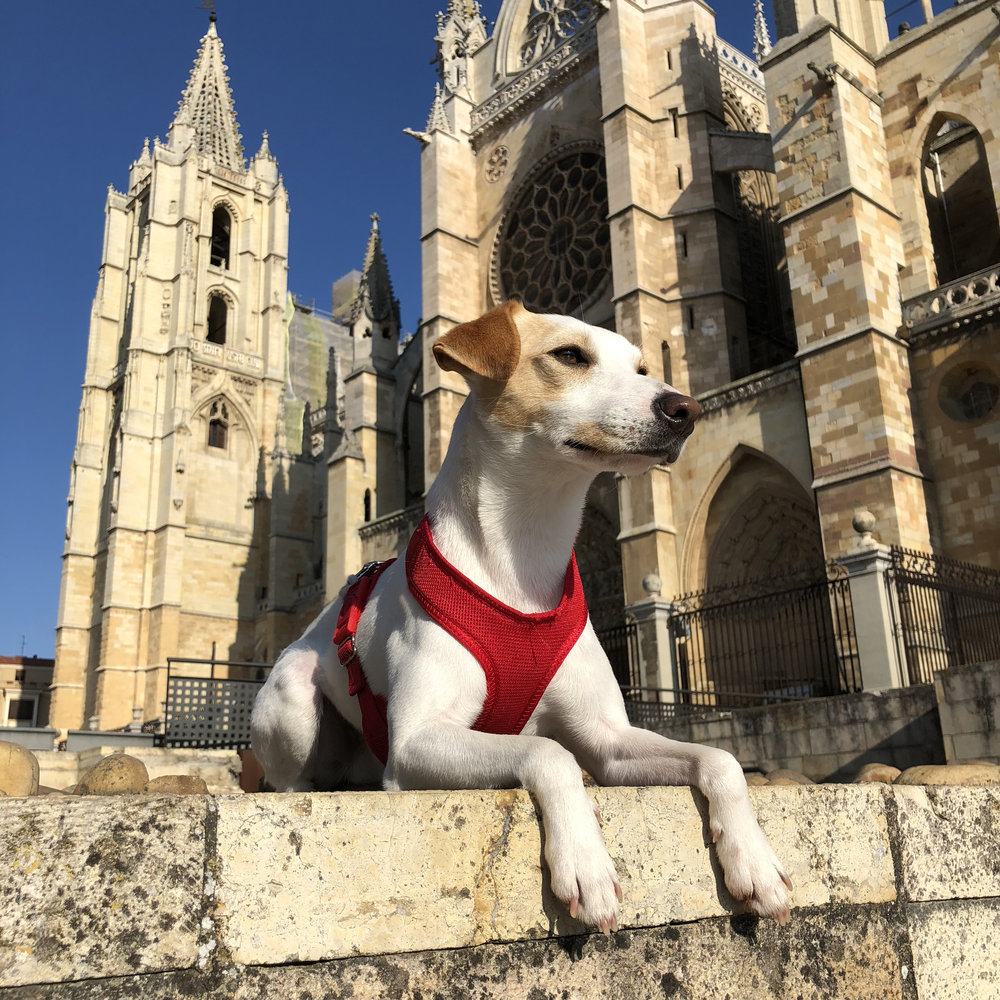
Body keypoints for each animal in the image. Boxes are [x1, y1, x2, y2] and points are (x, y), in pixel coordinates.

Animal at [250, 302, 788, 928]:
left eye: (642, 366)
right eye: (569, 355)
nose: (686, 409)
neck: (524, 558)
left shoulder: (609, 740)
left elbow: (721, 758)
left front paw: (754, 861)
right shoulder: (417, 743)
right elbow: (548, 751)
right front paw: (585, 863)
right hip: (295, 695)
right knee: (291, 781)